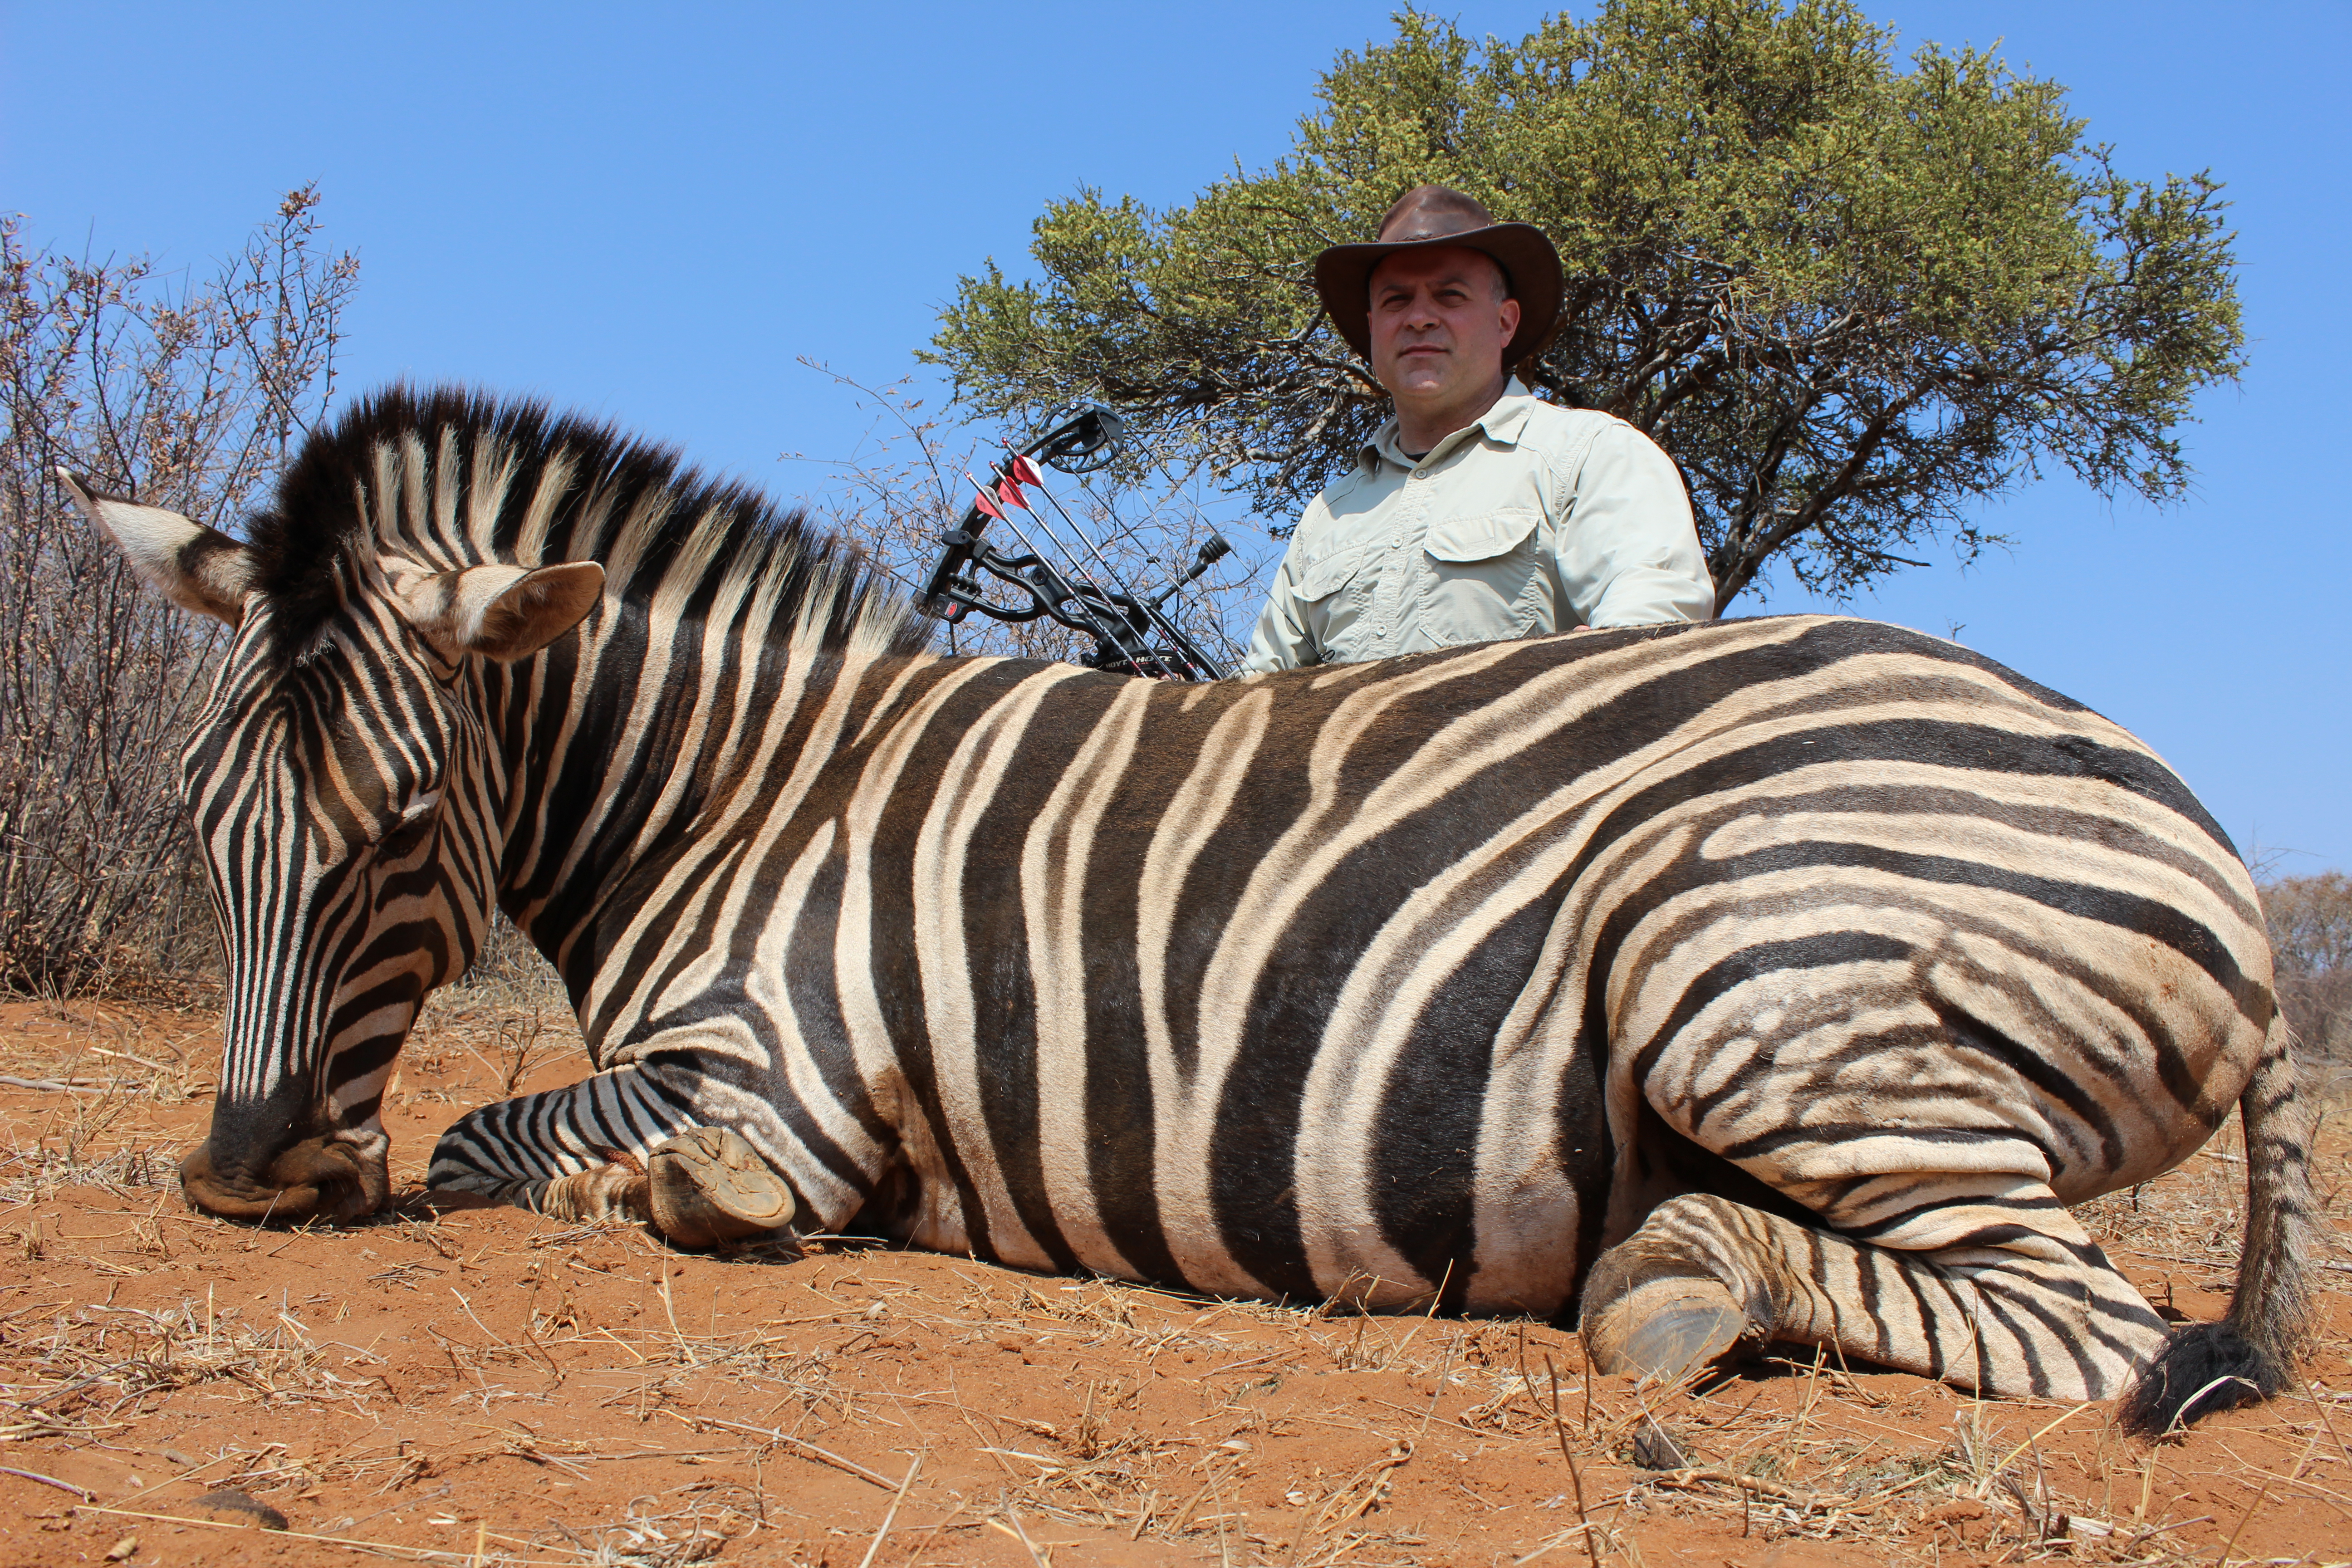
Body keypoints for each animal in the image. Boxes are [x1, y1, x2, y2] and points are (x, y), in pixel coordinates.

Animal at [64, 386, 2312, 1434]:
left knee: (2082, 1323)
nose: (243, 1177)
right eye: (195, 815)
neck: (743, 790)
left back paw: (1681, 1279)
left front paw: (689, 1203)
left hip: (1740, 965)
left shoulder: (781, 1070)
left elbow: (491, 1137)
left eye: (399, 824)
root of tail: (2190, 827)